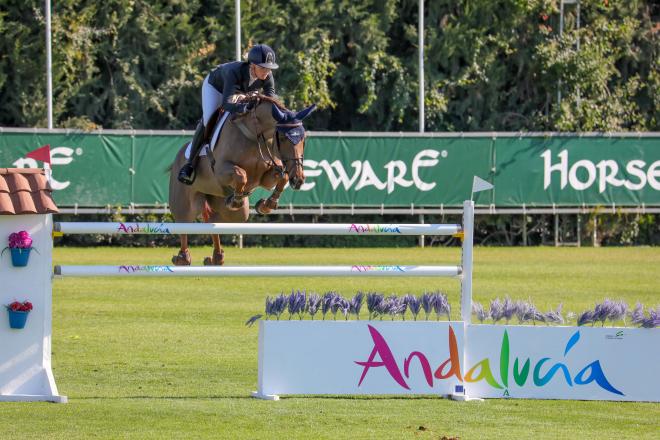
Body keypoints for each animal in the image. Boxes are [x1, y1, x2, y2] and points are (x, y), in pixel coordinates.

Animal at [169, 93, 316, 264]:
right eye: (283, 138)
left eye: (304, 139)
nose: (298, 179)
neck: (254, 135)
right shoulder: (221, 169)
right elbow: (241, 175)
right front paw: (236, 200)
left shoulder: (267, 175)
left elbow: (282, 176)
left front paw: (266, 205)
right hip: (185, 201)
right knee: (183, 222)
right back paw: (182, 258)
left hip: (227, 209)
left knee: (212, 220)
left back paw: (215, 258)